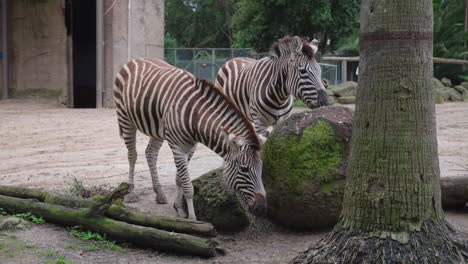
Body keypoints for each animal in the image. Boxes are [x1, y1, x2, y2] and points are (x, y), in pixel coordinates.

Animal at [113, 58, 266, 221]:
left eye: (261, 167)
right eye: (244, 169)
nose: (261, 208)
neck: (195, 115)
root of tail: (135, 59)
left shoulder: (192, 146)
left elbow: (180, 178)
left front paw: (179, 209)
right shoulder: (178, 146)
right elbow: (188, 186)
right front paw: (192, 219)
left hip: (156, 128)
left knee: (150, 154)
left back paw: (160, 194)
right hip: (125, 119)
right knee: (132, 155)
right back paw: (131, 193)